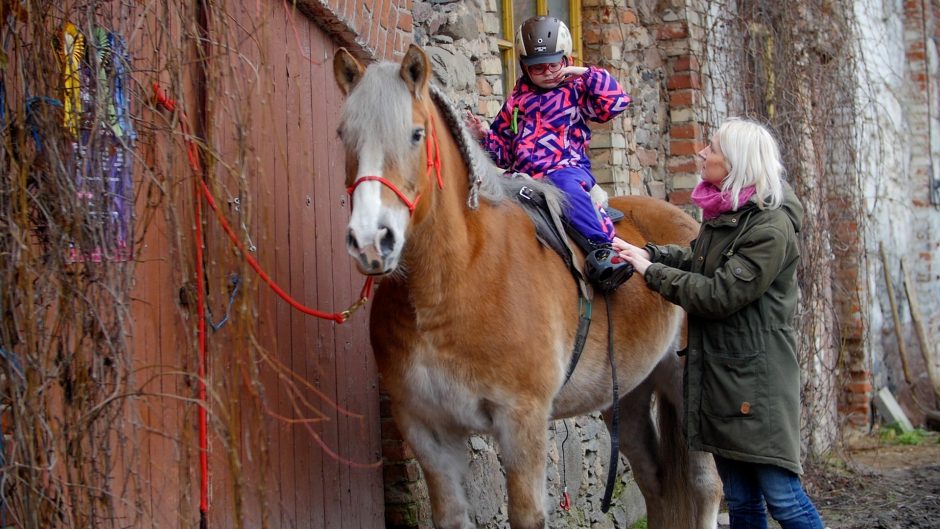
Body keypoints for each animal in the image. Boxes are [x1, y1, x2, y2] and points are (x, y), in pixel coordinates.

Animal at [334, 45, 724, 528]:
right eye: (343, 134)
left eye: (416, 134)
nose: (371, 240)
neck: (454, 280)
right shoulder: (426, 429)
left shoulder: (522, 420)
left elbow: (526, 514)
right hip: (629, 394)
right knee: (655, 482)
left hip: (683, 383)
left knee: (705, 487)